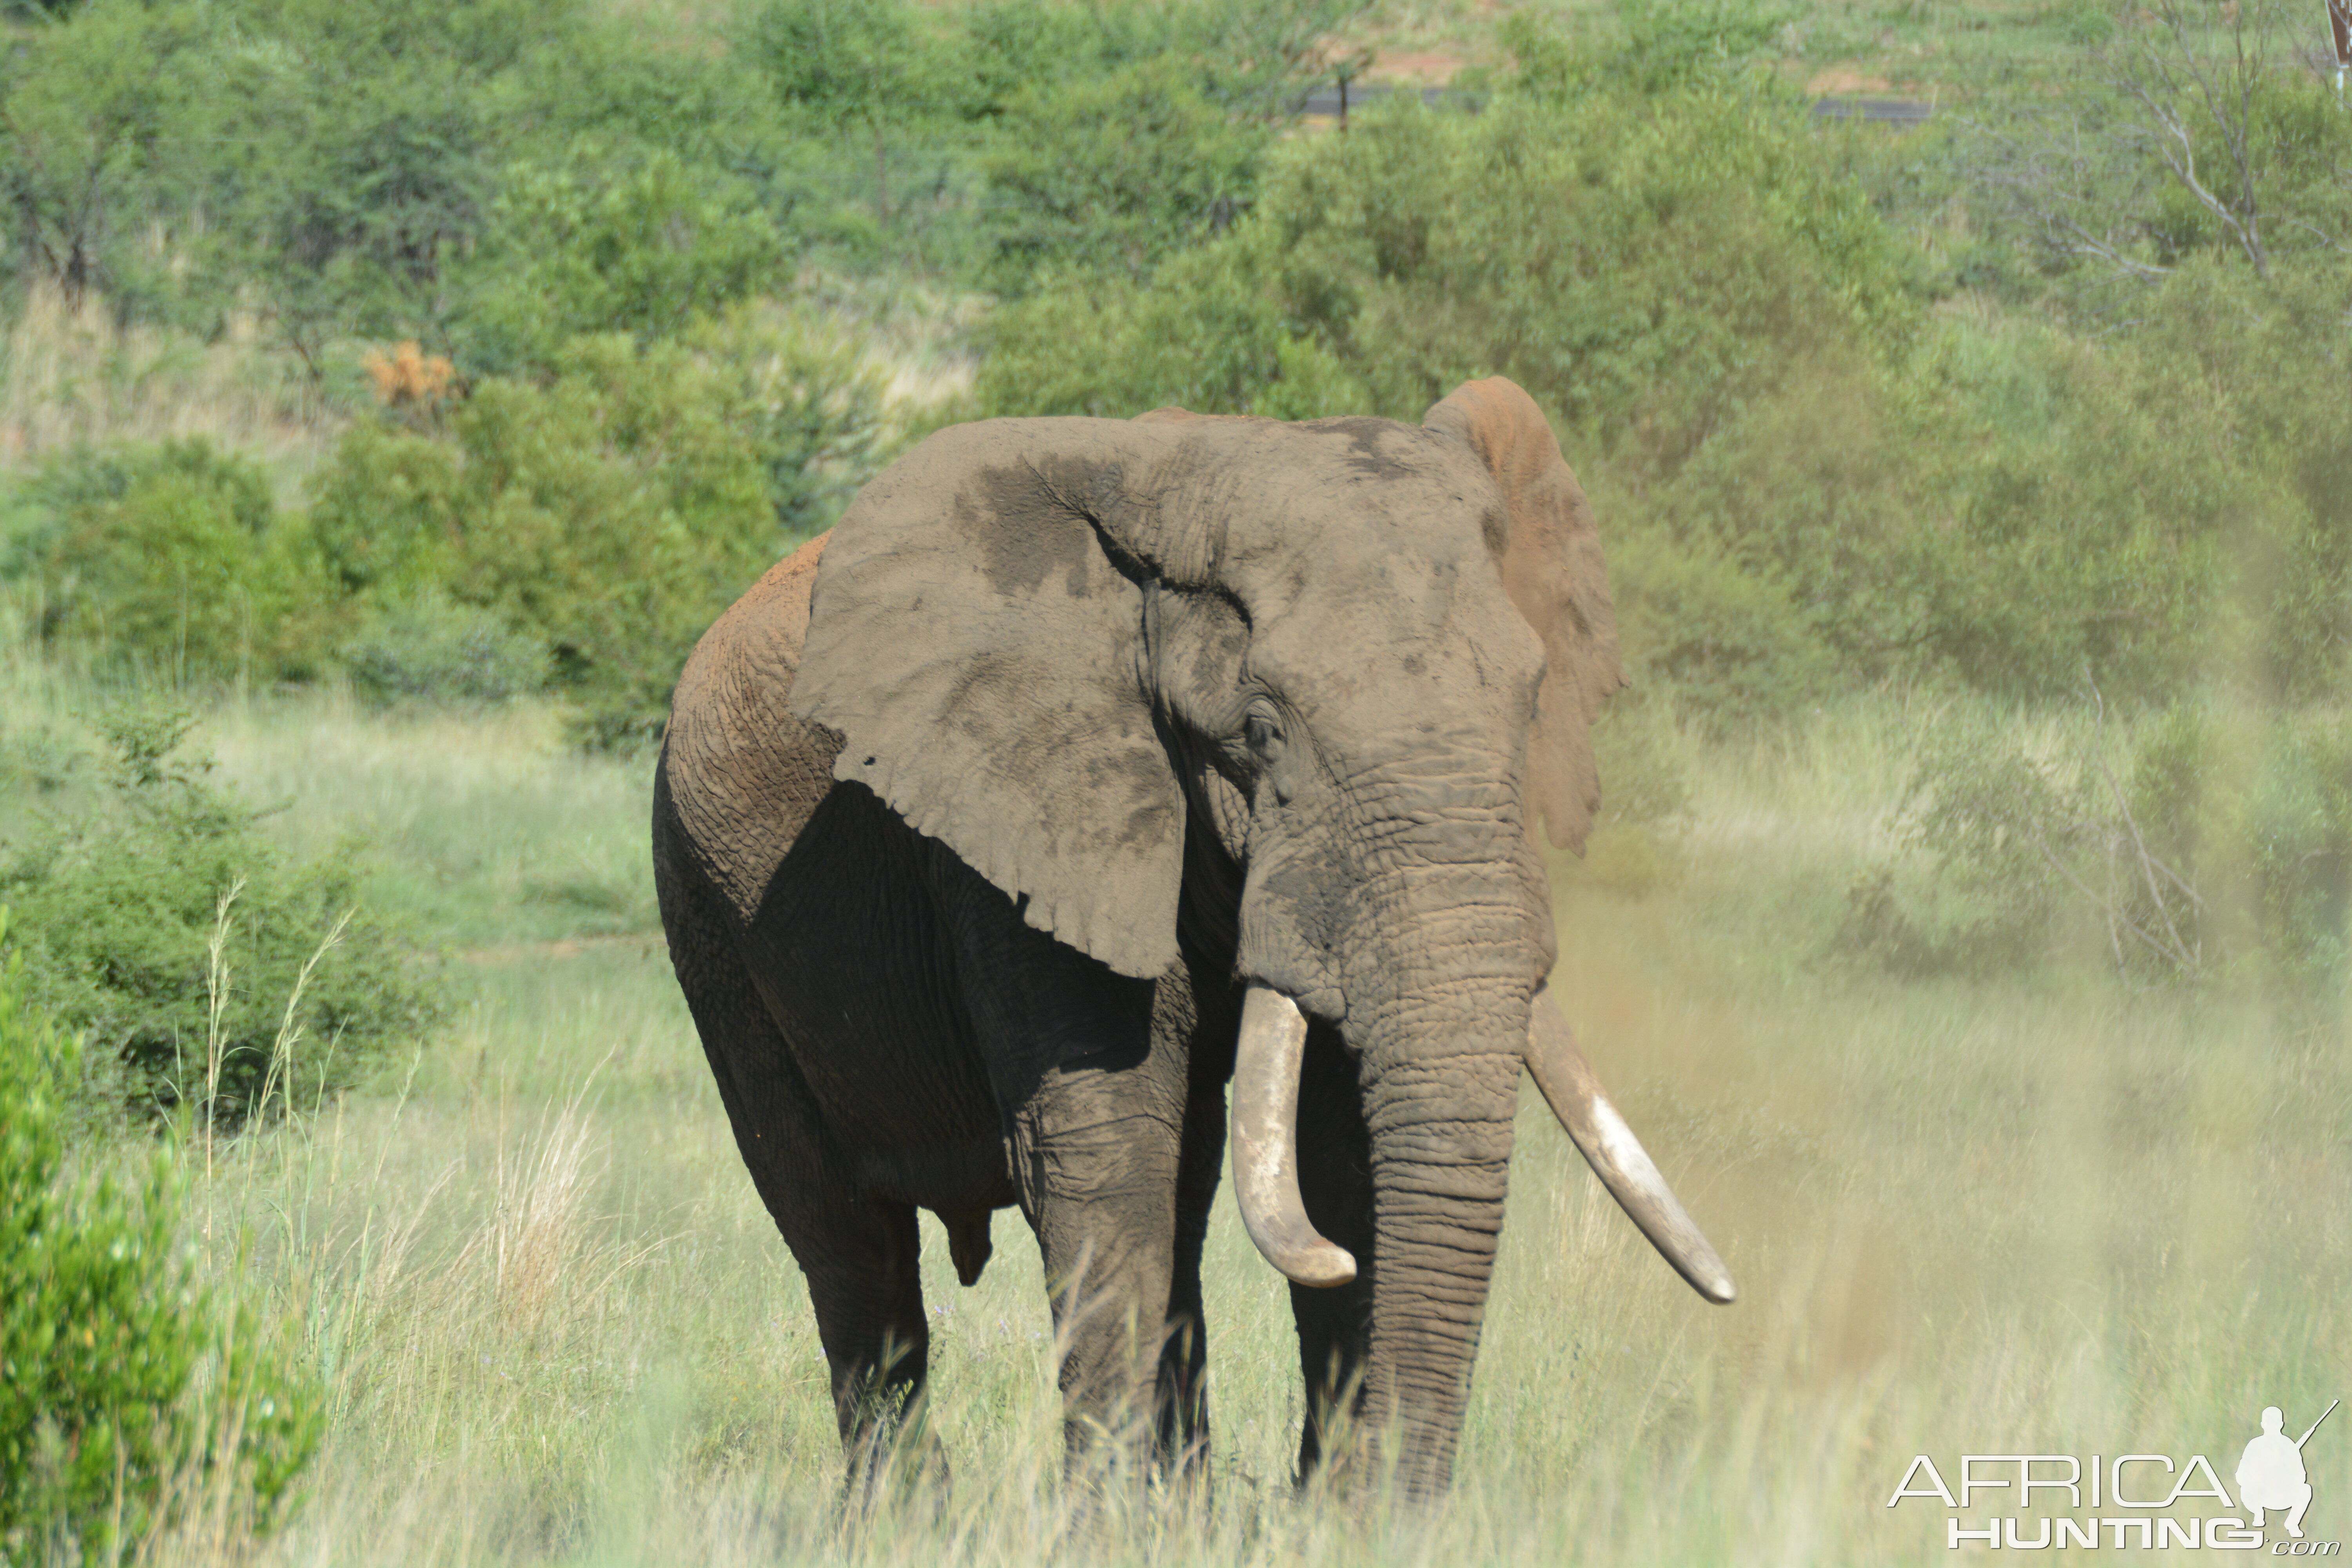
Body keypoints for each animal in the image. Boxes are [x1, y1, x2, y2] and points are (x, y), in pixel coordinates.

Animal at [654, 376, 1740, 1495]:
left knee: (1184, 1191)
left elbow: (1339, 1154)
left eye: (1530, 706)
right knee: (845, 1237)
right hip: (707, 912)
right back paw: (907, 1515)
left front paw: (1321, 1514)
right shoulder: (1017, 824)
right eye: (1260, 732)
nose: (1392, 1508)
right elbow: (1107, 1147)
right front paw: (1116, 1523)